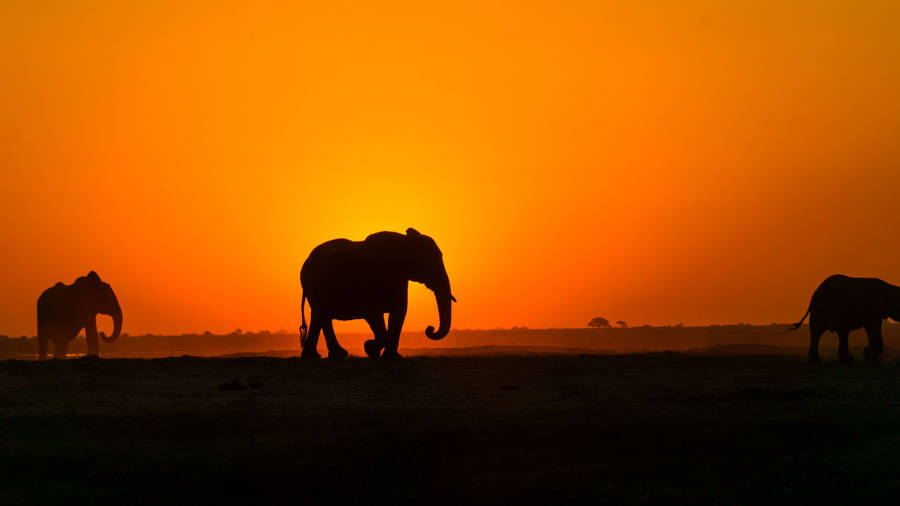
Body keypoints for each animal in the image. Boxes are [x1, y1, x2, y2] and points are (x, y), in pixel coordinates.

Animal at [299, 228, 456, 360]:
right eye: (429, 262)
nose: (430, 328)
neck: (404, 241)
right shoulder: (372, 279)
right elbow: (374, 313)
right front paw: (370, 348)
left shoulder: (400, 278)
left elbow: (399, 313)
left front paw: (391, 357)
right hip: (313, 285)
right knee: (323, 315)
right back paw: (336, 355)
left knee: (319, 316)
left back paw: (316, 356)